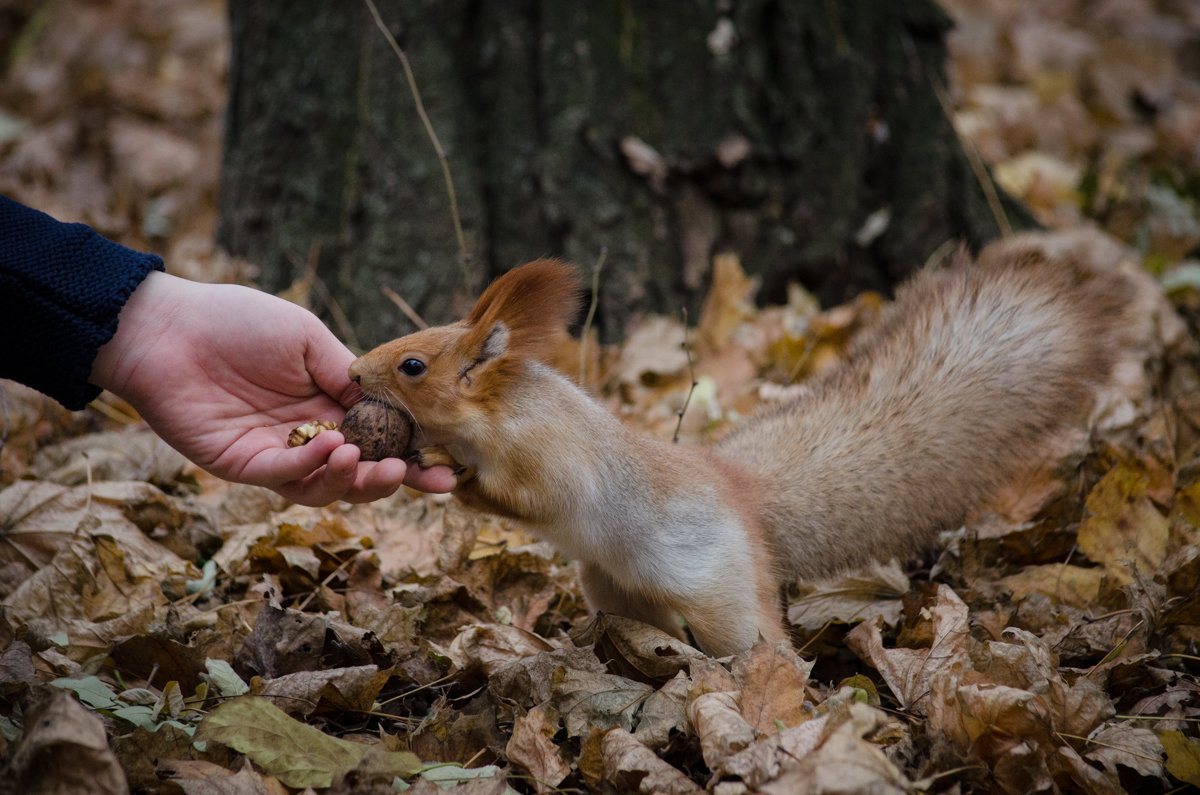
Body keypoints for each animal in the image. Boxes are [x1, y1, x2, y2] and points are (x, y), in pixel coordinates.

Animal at [345, 246, 1123, 658]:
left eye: (412, 365)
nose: (352, 371)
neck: (501, 409)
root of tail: (744, 496)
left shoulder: (551, 458)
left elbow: (530, 496)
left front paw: (443, 475)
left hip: (724, 597)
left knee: (765, 645)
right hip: (613, 582)